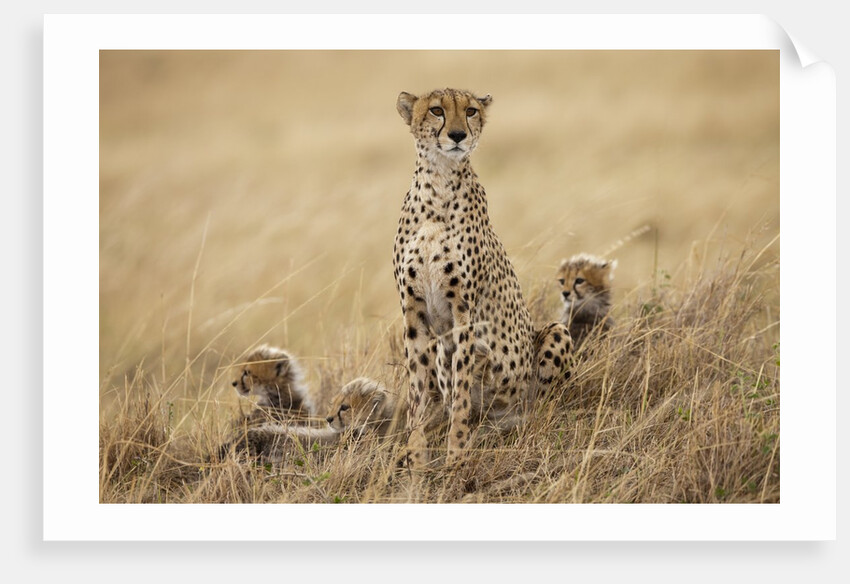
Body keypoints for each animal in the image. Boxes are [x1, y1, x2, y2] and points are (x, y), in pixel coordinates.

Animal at [392, 88, 572, 469]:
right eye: (436, 110)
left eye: (471, 111)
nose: (458, 135)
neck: (438, 183)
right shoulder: (413, 312)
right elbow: (417, 392)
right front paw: (416, 454)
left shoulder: (464, 312)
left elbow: (461, 390)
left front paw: (457, 455)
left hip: (553, 336)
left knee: (541, 405)